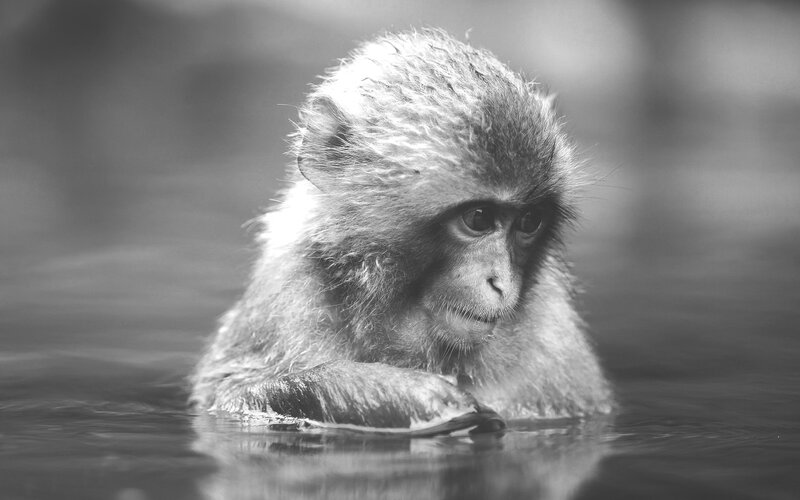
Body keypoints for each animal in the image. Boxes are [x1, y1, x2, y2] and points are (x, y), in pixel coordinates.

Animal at [190, 29, 613, 434]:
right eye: (478, 219)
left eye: (528, 222)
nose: (500, 283)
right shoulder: (283, 295)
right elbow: (227, 392)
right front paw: (399, 393)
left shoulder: (554, 348)